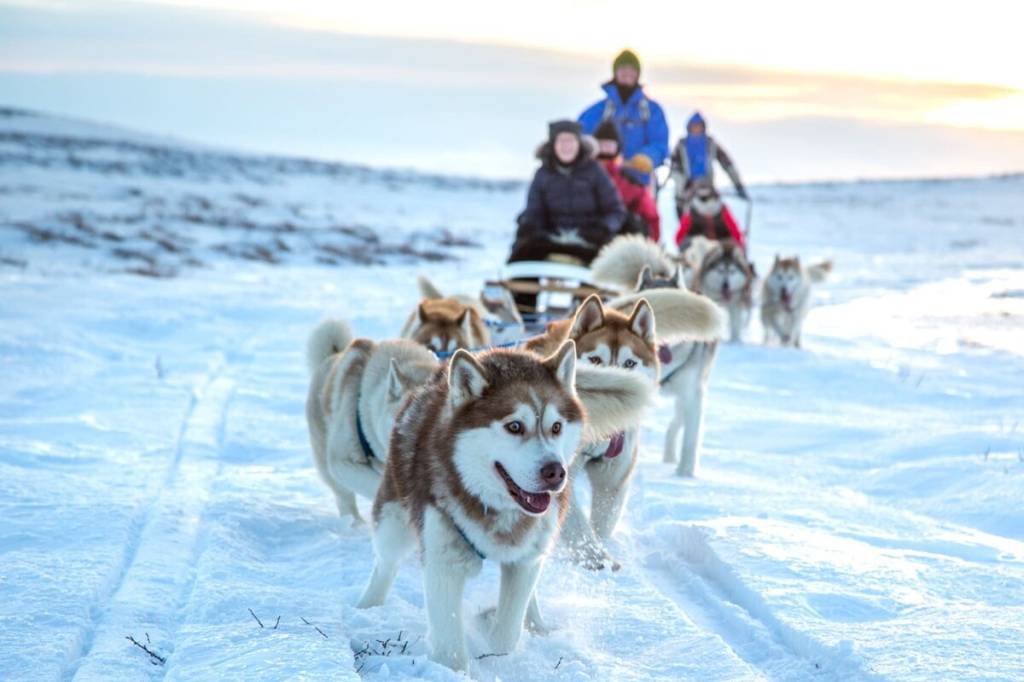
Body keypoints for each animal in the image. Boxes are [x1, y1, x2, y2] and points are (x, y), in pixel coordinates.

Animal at [356, 339, 651, 667]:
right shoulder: (443, 561)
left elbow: (507, 632)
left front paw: (498, 654)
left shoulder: (525, 562)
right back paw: (368, 607)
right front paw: (453, 668)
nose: (555, 472)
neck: (497, 509)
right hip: (393, 521)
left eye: (556, 427)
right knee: (386, 562)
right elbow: (449, 646)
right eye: (514, 426)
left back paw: (535, 624)